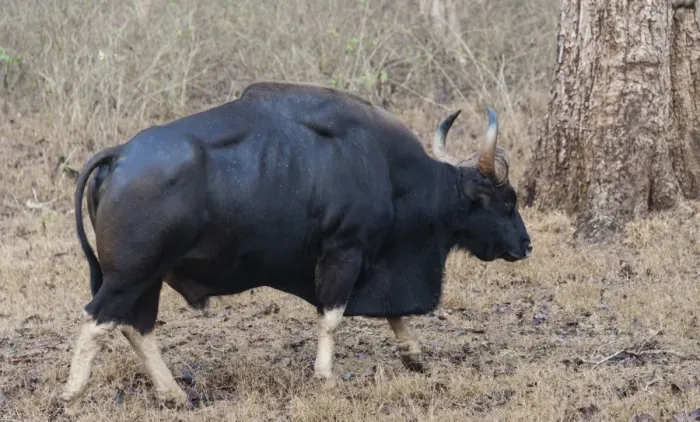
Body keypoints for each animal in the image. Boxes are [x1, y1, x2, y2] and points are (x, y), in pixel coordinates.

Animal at [62, 81, 532, 407]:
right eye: (507, 201)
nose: (526, 245)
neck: (389, 173)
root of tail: (121, 155)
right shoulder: (346, 252)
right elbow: (333, 318)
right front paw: (325, 375)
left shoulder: (375, 261)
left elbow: (392, 310)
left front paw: (413, 354)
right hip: (131, 274)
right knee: (96, 319)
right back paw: (71, 393)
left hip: (150, 276)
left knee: (135, 325)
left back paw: (173, 393)